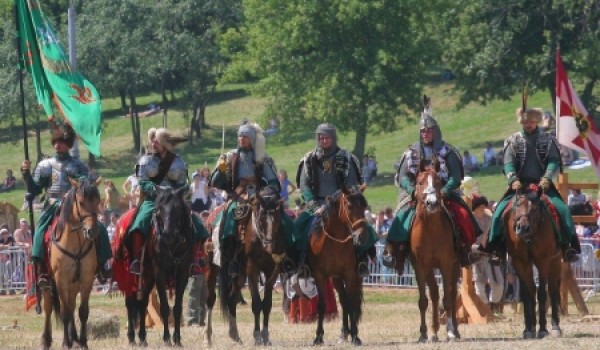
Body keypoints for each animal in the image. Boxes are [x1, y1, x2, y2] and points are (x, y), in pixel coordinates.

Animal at [40, 178, 101, 350]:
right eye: (80, 202)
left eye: (98, 201)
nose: (92, 231)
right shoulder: (61, 280)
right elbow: (65, 313)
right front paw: (66, 343)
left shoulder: (87, 279)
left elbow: (83, 311)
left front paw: (83, 342)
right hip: (48, 283)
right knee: (49, 307)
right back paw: (46, 340)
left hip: (73, 285)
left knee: (72, 304)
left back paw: (74, 338)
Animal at [204, 193, 286, 346]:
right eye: (261, 218)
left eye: (278, 218)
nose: (269, 247)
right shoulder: (252, 270)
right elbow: (257, 304)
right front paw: (257, 337)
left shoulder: (272, 270)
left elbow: (267, 304)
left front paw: (266, 337)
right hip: (212, 266)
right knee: (210, 299)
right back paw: (207, 337)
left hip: (239, 274)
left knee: (231, 299)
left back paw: (235, 335)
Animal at [310, 187, 370, 346]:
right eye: (349, 206)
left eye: (365, 207)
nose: (362, 236)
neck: (335, 242)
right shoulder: (320, 275)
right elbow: (321, 304)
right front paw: (318, 337)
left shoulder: (350, 274)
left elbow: (351, 303)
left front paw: (355, 336)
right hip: (336, 278)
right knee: (343, 301)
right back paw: (344, 333)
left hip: (355, 277)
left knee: (352, 301)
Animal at [506, 187, 564, 338]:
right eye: (517, 205)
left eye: (536, 208)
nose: (522, 228)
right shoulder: (520, 261)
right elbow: (527, 293)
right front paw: (528, 329)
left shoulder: (542, 260)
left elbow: (542, 293)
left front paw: (543, 328)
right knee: (532, 289)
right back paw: (532, 326)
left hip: (555, 261)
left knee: (552, 290)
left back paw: (555, 326)